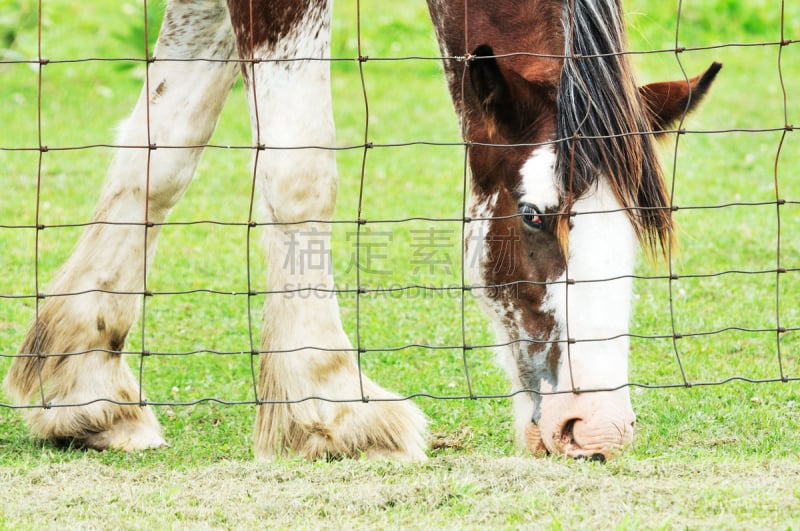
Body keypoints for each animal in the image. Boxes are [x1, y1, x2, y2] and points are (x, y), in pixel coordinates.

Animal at [4, 0, 720, 462]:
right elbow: (299, 165)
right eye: (534, 215)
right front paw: (329, 405)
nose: (596, 428)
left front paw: (84, 384)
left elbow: (167, 140)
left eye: (631, 234)